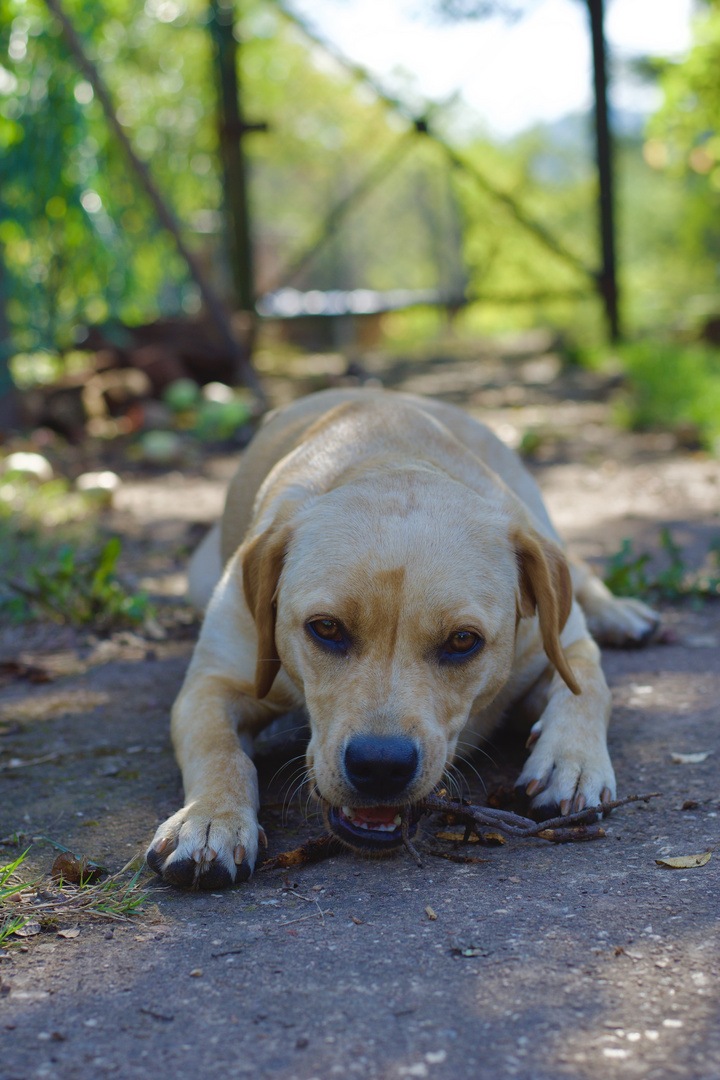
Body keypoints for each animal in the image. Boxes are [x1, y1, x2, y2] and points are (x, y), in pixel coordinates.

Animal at [146, 388, 660, 885]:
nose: (380, 766)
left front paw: (572, 762)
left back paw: (621, 613)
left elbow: (588, 686)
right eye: (326, 628)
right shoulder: (211, 684)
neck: (390, 454)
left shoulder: (560, 646)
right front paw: (210, 818)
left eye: (462, 640)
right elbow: (219, 750)